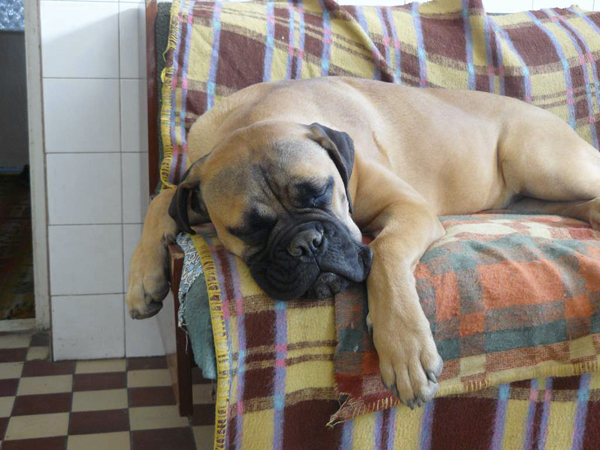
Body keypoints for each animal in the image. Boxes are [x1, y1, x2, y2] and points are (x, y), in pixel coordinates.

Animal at [126, 76, 600, 409]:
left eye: (320, 191)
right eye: (250, 230)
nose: (306, 244)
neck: (256, 116)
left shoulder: (410, 208)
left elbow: (385, 252)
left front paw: (404, 346)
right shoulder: (190, 185)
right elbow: (164, 199)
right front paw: (142, 281)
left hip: (539, 160)